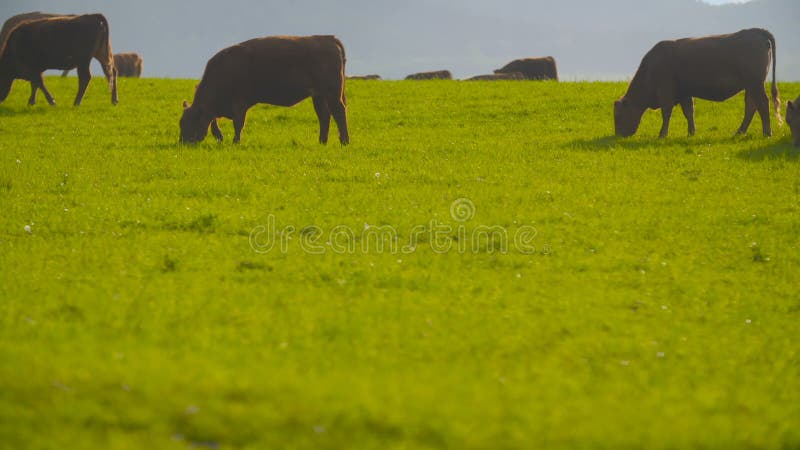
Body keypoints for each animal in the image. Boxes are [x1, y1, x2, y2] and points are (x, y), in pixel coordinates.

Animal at [182, 35, 350, 144]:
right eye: (181, 123)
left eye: (191, 122)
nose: (183, 143)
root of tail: (329, 38)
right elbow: (214, 121)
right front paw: (220, 137)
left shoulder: (239, 105)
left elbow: (238, 124)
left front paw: (235, 142)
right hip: (319, 96)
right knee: (325, 116)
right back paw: (322, 141)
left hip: (332, 94)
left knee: (339, 112)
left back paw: (344, 141)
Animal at [612, 29, 780, 138]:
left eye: (619, 116)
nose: (618, 135)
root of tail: (755, 32)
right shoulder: (684, 93)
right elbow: (689, 112)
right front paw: (691, 132)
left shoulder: (666, 92)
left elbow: (666, 113)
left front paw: (662, 134)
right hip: (750, 86)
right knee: (752, 106)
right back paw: (739, 132)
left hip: (755, 84)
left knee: (762, 104)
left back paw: (767, 132)